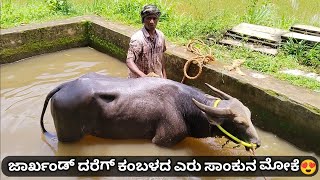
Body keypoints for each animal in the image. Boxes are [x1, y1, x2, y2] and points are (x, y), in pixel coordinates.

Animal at [40, 72, 260, 150]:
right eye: (239, 123)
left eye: (251, 117)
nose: (257, 143)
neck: (185, 105)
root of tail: (64, 86)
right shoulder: (164, 139)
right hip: (69, 137)